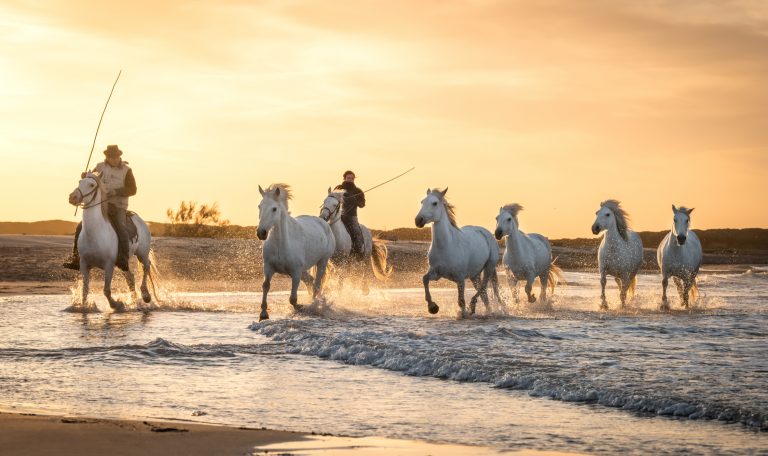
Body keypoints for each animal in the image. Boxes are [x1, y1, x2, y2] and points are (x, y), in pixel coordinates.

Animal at [68, 173, 154, 312]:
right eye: (80, 181)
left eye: (91, 185)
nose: (72, 197)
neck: (95, 232)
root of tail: (140, 220)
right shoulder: (84, 264)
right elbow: (85, 291)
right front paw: (84, 307)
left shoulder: (108, 265)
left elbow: (106, 291)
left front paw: (116, 304)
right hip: (123, 264)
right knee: (130, 278)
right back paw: (134, 301)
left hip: (142, 253)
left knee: (146, 266)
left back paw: (146, 295)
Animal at [256, 183, 334, 320]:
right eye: (259, 206)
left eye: (274, 209)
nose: (261, 233)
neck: (281, 244)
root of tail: (324, 222)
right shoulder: (268, 267)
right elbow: (266, 285)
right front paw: (264, 313)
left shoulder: (296, 272)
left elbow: (292, 299)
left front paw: (301, 308)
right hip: (304, 270)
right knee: (311, 282)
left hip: (322, 262)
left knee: (316, 285)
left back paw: (314, 305)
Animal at [416, 187, 500, 316]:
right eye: (422, 202)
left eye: (434, 203)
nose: (418, 220)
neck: (446, 246)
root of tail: (486, 233)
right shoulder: (436, 273)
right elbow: (424, 279)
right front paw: (432, 307)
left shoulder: (460, 279)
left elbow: (461, 301)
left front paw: (463, 314)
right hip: (474, 275)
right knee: (484, 294)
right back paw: (487, 311)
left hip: (489, 267)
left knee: (483, 286)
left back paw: (473, 306)